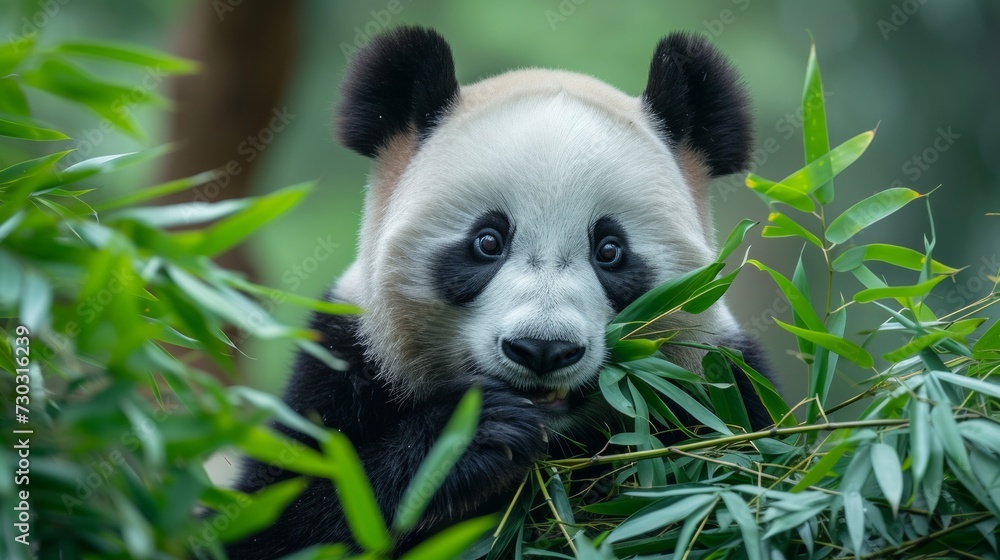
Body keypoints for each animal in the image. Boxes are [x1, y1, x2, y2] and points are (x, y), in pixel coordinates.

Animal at [225, 26, 772, 558]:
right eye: (487, 241)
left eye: (610, 250)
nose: (543, 349)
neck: (554, 434)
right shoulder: (342, 363)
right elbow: (278, 520)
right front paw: (474, 435)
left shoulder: (721, 386)